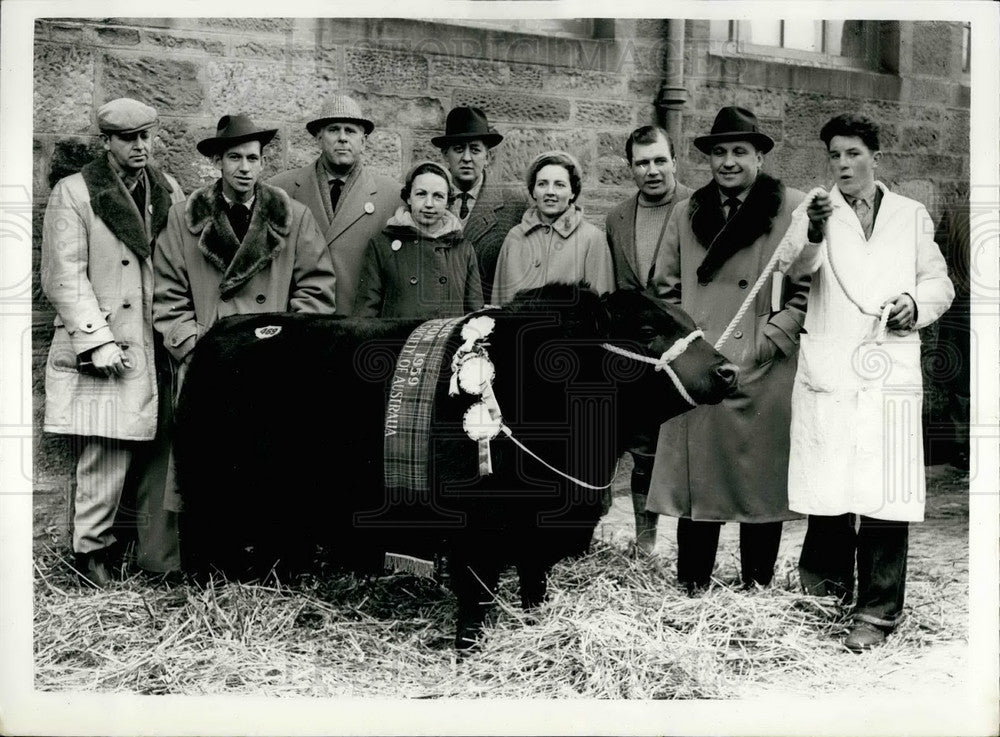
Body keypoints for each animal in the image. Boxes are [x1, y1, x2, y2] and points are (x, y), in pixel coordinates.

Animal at [174, 284, 736, 648]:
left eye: (689, 324)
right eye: (647, 328)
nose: (727, 370)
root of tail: (227, 328)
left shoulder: (538, 528)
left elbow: (534, 581)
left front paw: (534, 620)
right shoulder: (477, 527)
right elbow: (477, 591)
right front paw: (469, 643)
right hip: (209, 495)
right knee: (202, 545)